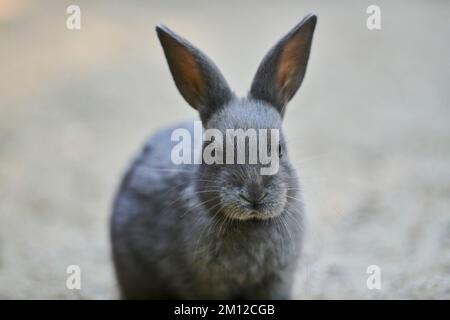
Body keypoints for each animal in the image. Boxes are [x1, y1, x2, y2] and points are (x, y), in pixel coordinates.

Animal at [111, 13, 318, 298]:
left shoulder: (277, 279)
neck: (250, 224)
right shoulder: (203, 284)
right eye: (214, 151)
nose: (254, 195)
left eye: (279, 149)